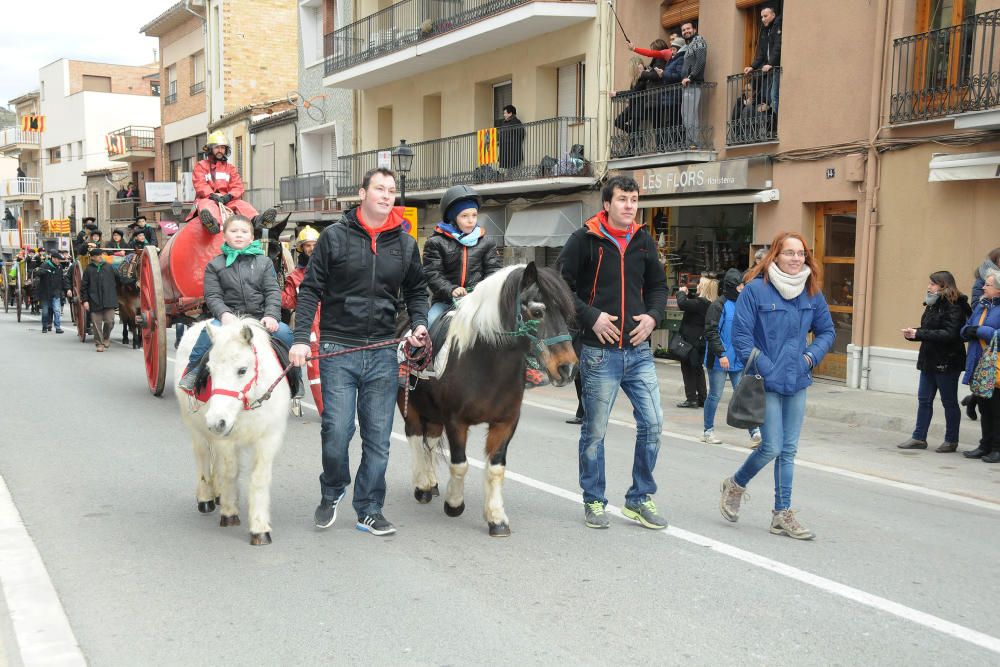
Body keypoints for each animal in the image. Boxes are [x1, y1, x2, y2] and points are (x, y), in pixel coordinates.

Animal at [175, 320, 292, 548]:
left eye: (242, 370)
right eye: (210, 370)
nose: (216, 421)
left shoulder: (268, 439)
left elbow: (259, 479)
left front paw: (259, 528)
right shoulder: (225, 439)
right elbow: (230, 472)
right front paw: (229, 513)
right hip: (196, 428)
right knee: (203, 456)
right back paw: (207, 498)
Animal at [394, 262, 576, 536]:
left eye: (565, 313)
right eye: (537, 311)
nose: (568, 368)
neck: (485, 362)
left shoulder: (506, 422)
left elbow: (496, 469)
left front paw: (497, 518)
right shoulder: (456, 422)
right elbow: (460, 464)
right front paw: (454, 504)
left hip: (434, 413)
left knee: (430, 441)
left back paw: (432, 482)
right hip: (410, 406)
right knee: (415, 439)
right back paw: (423, 485)